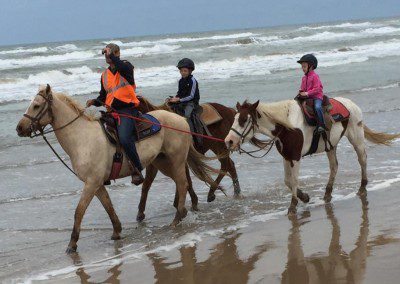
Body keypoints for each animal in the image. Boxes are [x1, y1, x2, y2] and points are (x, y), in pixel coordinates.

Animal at [17, 85, 219, 253]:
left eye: (36, 106)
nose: (19, 128)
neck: (82, 138)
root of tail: (181, 120)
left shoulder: (91, 183)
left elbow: (79, 211)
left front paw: (72, 244)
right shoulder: (97, 184)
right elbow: (108, 206)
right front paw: (116, 231)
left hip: (175, 161)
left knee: (183, 183)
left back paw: (177, 217)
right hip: (163, 163)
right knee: (181, 183)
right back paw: (182, 211)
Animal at [225, 98, 400, 214]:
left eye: (243, 120)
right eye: (234, 119)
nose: (228, 141)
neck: (287, 126)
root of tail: (352, 105)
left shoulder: (295, 157)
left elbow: (294, 180)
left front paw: (293, 205)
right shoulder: (286, 157)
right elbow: (287, 181)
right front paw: (304, 197)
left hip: (356, 138)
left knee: (362, 159)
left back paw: (362, 187)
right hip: (331, 146)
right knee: (334, 167)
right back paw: (327, 194)